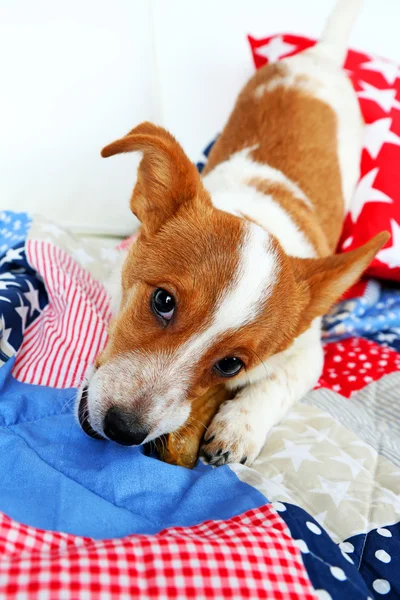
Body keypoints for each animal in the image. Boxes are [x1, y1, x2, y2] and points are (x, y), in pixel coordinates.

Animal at [76, 0, 390, 466]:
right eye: (162, 301)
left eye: (230, 365)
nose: (124, 429)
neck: (260, 213)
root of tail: (321, 56)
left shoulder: (307, 354)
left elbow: (275, 385)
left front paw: (239, 427)